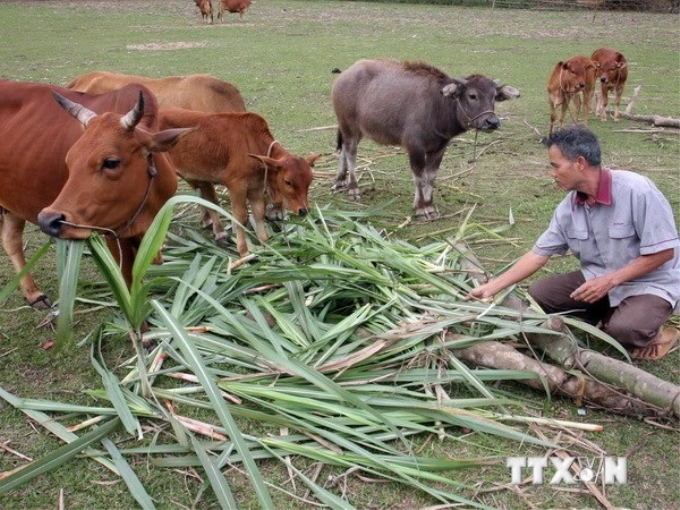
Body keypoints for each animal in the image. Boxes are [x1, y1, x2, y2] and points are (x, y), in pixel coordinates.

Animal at [0, 80, 186, 306]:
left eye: (111, 162)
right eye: (69, 159)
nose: (47, 220)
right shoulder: (113, 234)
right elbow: (128, 283)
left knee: (11, 240)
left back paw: (33, 293)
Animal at [159, 109, 318, 256]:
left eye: (310, 180)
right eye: (288, 182)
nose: (304, 210)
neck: (253, 144)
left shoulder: (255, 186)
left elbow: (259, 212)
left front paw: (266, 245)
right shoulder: (236, 185)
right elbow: (240, 216)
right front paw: (244, 252)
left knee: (208, 199)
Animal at [330, 59, 520, 219]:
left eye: (494, 96)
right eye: (472, 95)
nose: (492, 122)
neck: (437, 106)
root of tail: (345, 74)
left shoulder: (440, 147)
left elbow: (431, 177)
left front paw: (429, 205)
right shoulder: (415, 147)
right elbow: (419, 177)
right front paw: (421, 209)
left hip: (357, 130)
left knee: (344, 150)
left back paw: (340, 181)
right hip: (348, 124)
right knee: (351, 153)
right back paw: (353, 188)